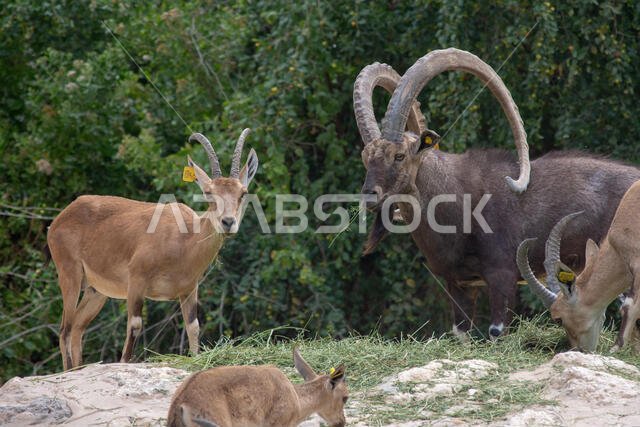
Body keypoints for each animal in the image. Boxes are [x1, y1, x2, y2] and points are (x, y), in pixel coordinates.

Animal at [47, 129, 258, 370]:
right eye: (208, 192)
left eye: (243, 192)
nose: (228, 222)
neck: (184, 239)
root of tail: (59, 219)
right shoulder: (136, 282)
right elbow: (135, 325)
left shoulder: (189, 290)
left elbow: (193, 327)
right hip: (69, 275)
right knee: (64, 329)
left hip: (95, 291)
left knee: (76, 328)